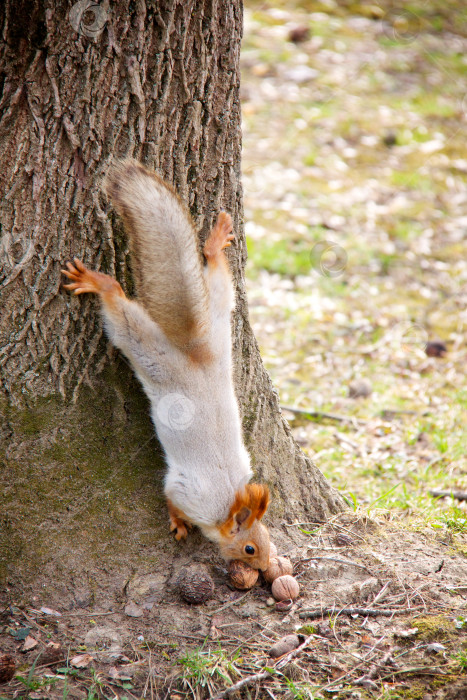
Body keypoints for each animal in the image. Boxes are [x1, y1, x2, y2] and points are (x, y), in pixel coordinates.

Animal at [64, 161, 272, 572]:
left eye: (269, 539)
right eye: (249, 548)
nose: (269, 568)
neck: (228, 499)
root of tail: (193, 351)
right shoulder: (190, 491)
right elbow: (171, 497)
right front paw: (178, 524)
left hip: (219, 328)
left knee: (219, 284)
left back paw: (215, 243)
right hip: (148, 350)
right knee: (122, 314)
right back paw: (100, 283)